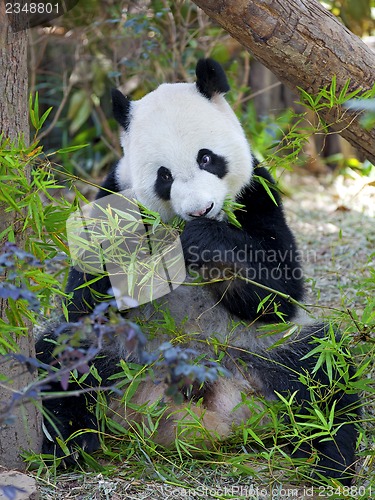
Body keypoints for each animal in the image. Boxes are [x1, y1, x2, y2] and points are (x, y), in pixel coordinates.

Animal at [36, 58, 360, 484]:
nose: (200, 210)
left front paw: (204, 240)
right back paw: (72, 446)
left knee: (323, 368)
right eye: (164, 175)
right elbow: (82, 297)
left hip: (259, 348)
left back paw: (330, 460)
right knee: (62, 358)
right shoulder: (111, 197)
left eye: (206, 158)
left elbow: (279, 291)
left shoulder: (257, 192)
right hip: (122, 352)